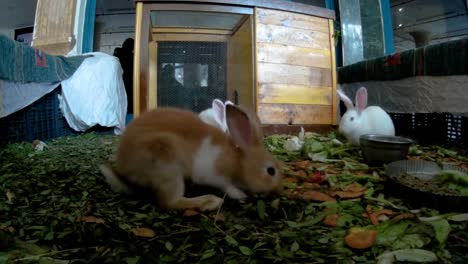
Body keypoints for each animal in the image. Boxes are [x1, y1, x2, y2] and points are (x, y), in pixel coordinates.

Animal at [98, 104, 282, 211]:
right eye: (271, 171)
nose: (277, 190)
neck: (238, 161)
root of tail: (123, 166)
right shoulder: (214, 175)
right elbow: (226, 186)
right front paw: (240, 195)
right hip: (166, 165)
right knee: (170, 202)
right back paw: (210, 202)